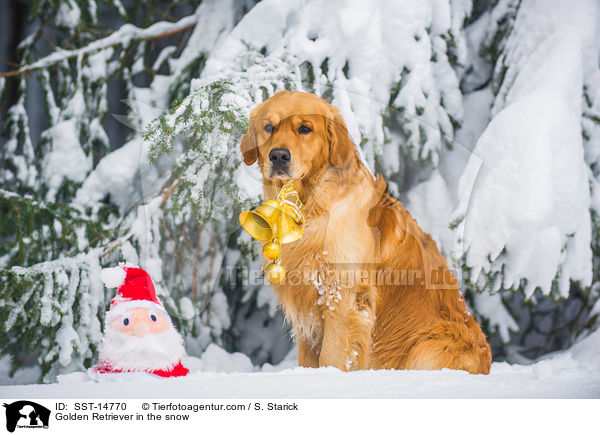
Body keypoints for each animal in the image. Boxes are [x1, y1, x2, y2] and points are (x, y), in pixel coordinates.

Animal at [239, 91, 492, 374]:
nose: (279, 156)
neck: (311, 204)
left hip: (428, 347)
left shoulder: (344, 296)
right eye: (268, 127)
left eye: (305, 129)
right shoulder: (305, 302)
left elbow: (332, 356)